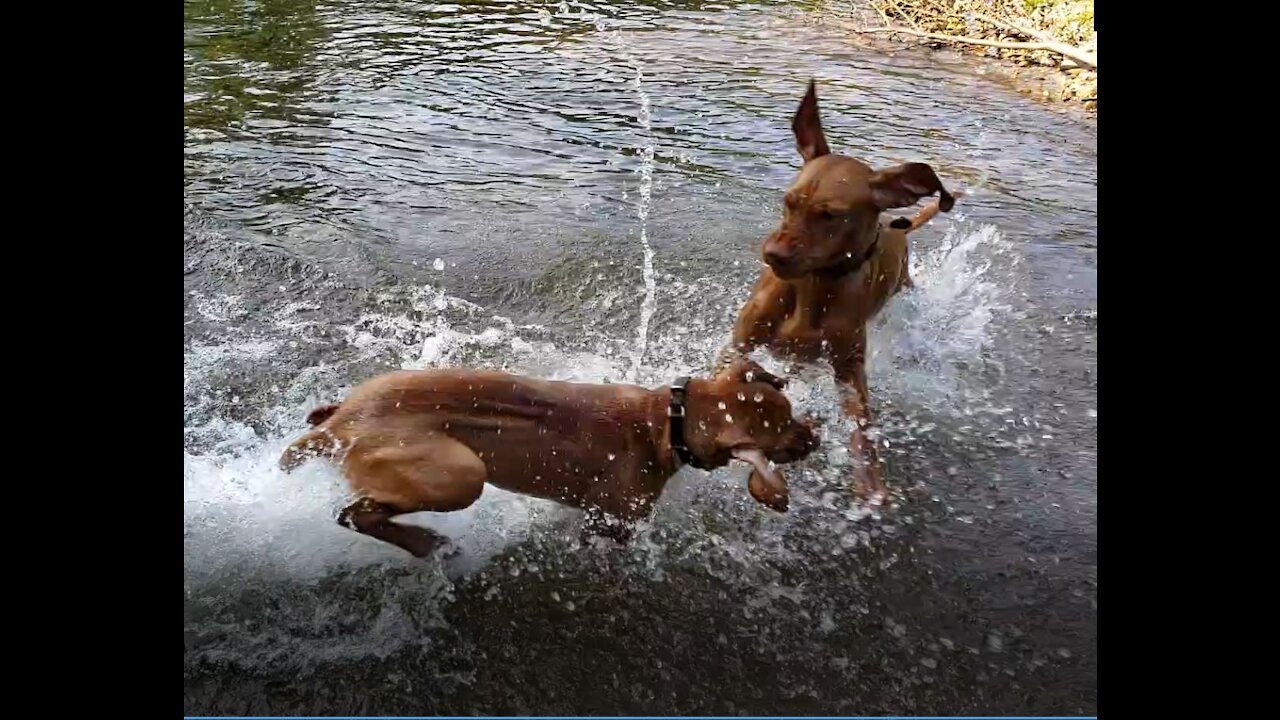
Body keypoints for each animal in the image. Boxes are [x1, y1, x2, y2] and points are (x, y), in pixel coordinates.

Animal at [281, 358, 819, 556]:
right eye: (784, 429)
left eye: (791, 411)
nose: (815, 437)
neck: (667, 421)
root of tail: (339, 423)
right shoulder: (612, 523)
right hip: (462, 474)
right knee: (356, 514)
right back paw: (425, 543)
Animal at [716, 79, 957, 504]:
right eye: (789, 201)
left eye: (831, 215)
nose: (773, 254)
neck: (813, 289)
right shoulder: (739, 344)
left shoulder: (849, 370)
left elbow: (862, 429)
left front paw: (871, 486)